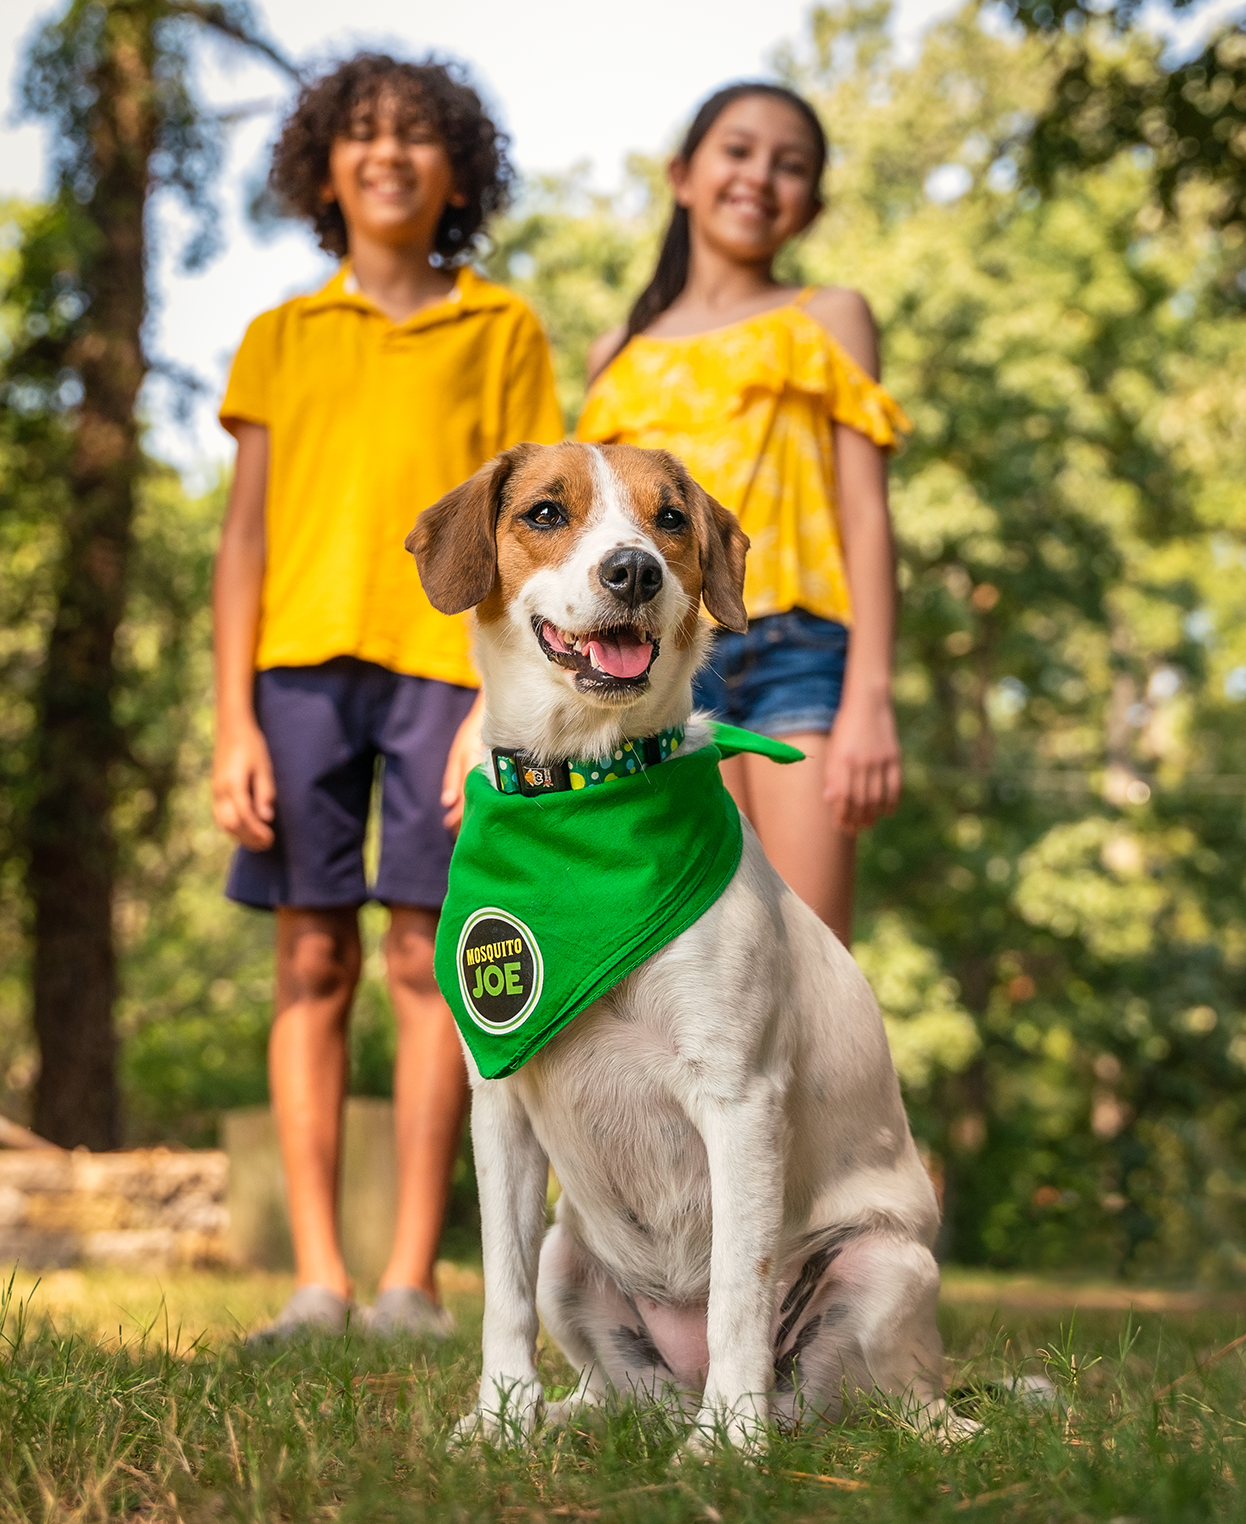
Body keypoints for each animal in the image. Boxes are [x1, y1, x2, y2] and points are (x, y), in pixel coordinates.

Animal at [408, 441, 944, 1450]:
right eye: (546, 512)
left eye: (669, 520)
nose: (634, 572)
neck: (590, 792)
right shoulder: (499, 1108)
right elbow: (499, 1292)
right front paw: (499, 1421)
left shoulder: (740, 1098)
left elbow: (740, 1289)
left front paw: (729, 1444)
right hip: (569, 1257)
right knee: (622, 1388)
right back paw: (573, 1418)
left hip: (887, 1268)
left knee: (873, 1398)